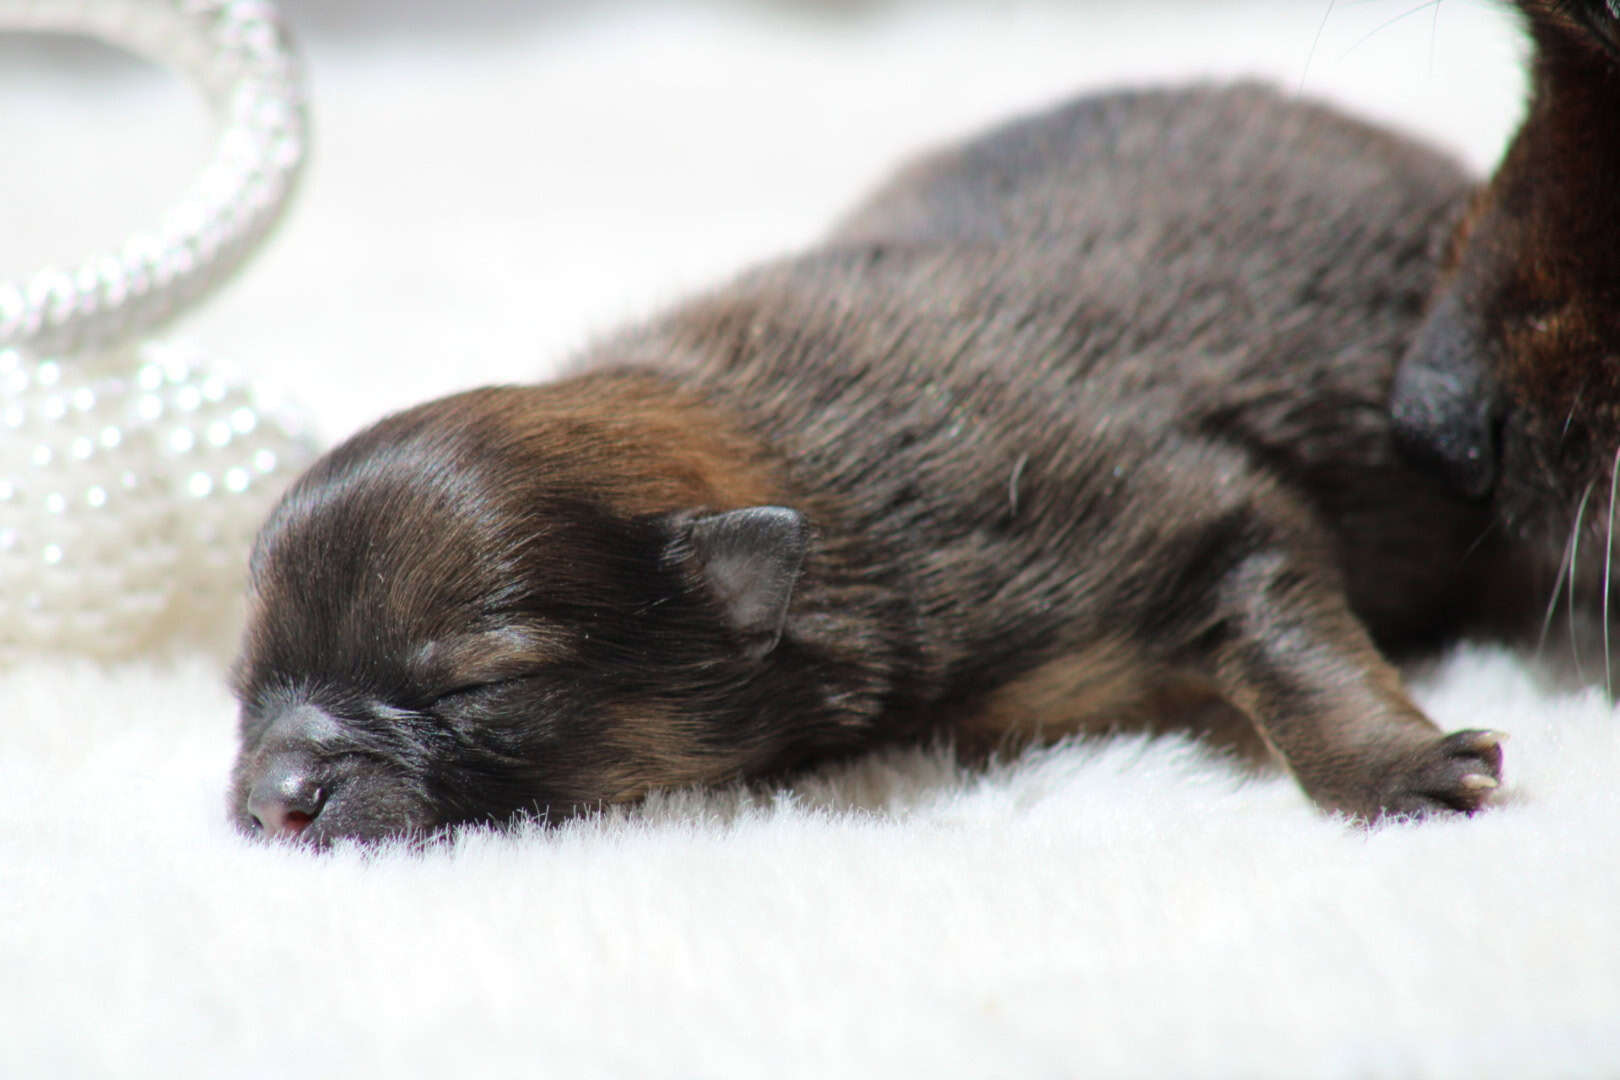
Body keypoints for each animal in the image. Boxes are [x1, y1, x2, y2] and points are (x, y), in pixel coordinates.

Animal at [231, 84, 1516, 848]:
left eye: (474, 690)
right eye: (247, 687)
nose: (275, 804)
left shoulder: (1183, 516)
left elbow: (1293, 642)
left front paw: (1400, 769)